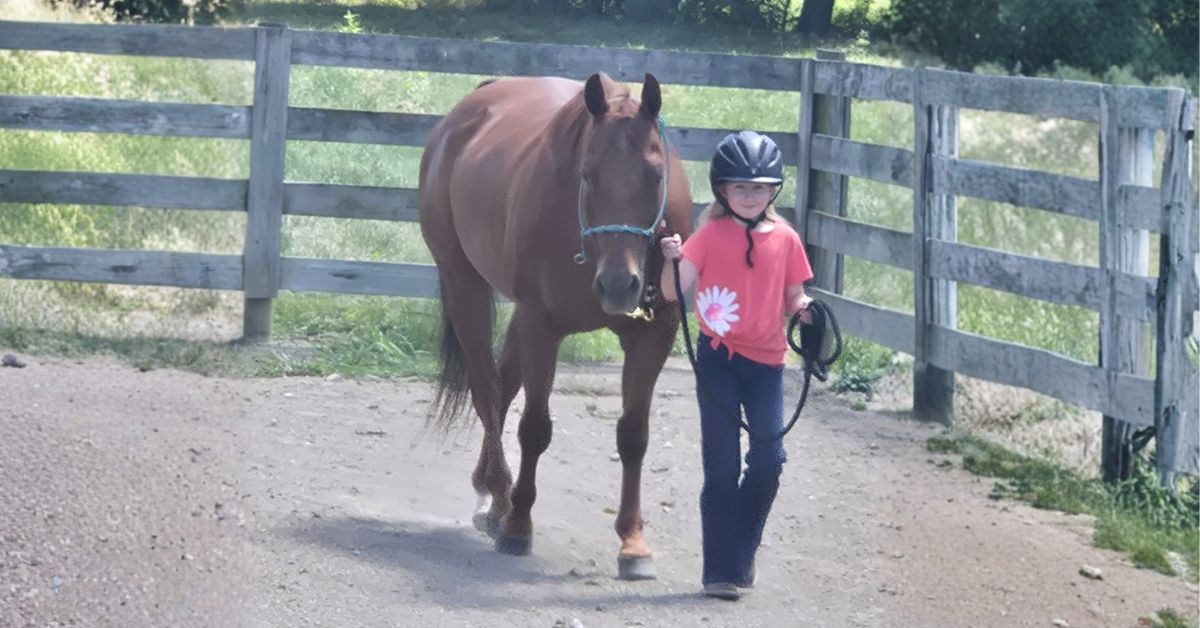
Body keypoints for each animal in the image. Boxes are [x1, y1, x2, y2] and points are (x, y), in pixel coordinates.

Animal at [417, 72, 694, 579]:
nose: (619, 284)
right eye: (588, 174)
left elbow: (633, 436)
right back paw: (501, 496)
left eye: (655, 175)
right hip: (465, 286)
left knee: (503, 387)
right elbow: (535, 429)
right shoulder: (541, 327)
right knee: (486, 391)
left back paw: (492, 497)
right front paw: (518, 526)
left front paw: (633, 543)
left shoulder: (653, 336)